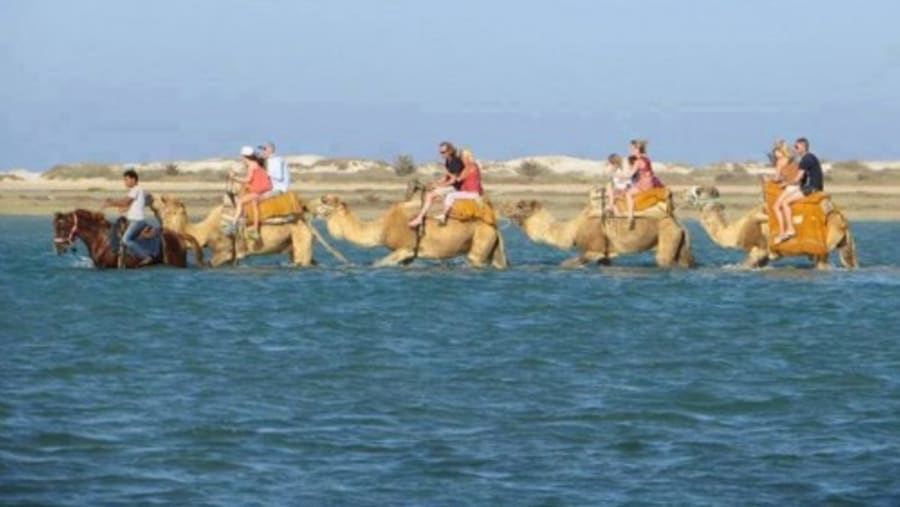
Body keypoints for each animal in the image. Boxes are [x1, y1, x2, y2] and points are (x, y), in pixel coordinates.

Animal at [153, 194, 344, 268]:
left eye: (165, 200)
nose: (151, 197)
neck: (204, 230)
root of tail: (306, 217)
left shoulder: (224, 248)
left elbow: (215, 261)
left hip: (300, 236)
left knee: (302, 259)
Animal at [314, 194, 508, 268]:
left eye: (327, 201)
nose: (313, 206)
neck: (382, 228)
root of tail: (494, 226)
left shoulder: (405, 248)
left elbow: (379, 263)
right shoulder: (410, 256)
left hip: (480, 244)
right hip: (491, 247)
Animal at [503, 200, 694, 268]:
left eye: (520, 205)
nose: (505, 207)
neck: (573, 229)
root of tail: (678, 223)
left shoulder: (596, 248)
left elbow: (569, 263)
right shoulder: (606, 254)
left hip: (667, 235)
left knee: (663, 259)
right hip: (680, 240)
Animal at [687, 185, 858, 269]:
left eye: (700, 191)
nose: (689, 193)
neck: (735, 231)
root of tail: (838, 214)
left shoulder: (759, 249)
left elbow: (745, 265)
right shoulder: (763, 256)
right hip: (843, 240)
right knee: (849, 260)